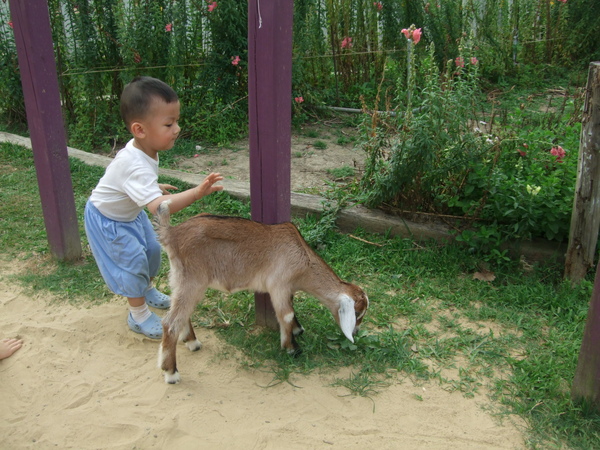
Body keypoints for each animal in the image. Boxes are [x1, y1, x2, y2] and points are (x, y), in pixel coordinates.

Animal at [152, 202, 368, 384]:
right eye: (357, 313)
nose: (356, 332)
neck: (303, 258)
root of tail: (171, 233)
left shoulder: (286, 288)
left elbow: (291, 309)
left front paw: (297, 330)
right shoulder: (278, 285)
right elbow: (286, 314)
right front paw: (291, 348)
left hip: (179, 278)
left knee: (180, 313)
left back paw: (192, 342)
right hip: (193, 281)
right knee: (170, 322)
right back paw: (171, 373)